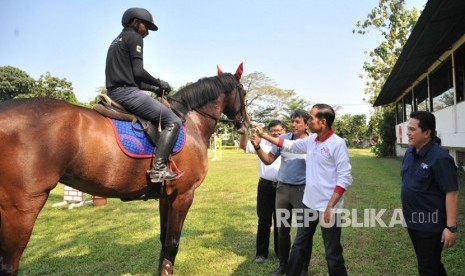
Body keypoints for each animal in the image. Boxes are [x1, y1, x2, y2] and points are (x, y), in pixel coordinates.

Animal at [0, 64, 250, 274]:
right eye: (245, 93)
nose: (245, 125)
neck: (191, 122)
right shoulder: (183, 195)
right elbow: (172, 244)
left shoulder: (166, 197)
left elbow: (163, 242)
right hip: (22, 207)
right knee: (9, 265)